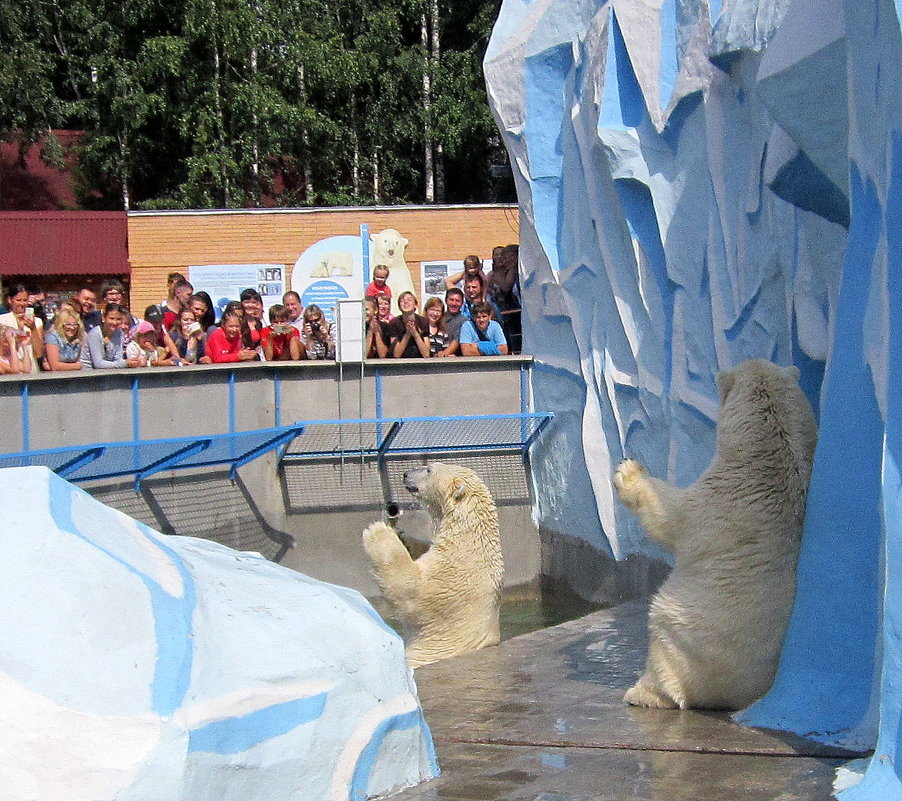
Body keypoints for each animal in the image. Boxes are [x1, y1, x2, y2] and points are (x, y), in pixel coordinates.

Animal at [364, 462, 504, 668]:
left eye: (428, 469)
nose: (405, 474)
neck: (469, 540)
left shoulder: (451, 575)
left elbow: (409, 588)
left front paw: (379, 531)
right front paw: (401, 536)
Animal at [616, 360, 820, 708]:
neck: (776, 450)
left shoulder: (717, 496)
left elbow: (667, 516)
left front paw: (628, 471)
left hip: (682, 635)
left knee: (662, 642)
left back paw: (640, 692)